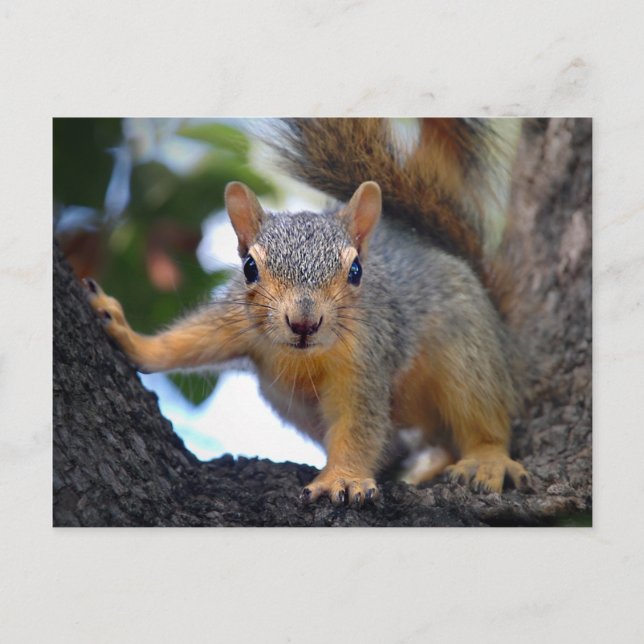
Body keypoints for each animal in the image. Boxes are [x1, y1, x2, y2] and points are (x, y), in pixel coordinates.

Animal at [84, 118, 530, 506]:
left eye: (356, 271)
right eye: (250, 267)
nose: (304, 322)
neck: (305, 357)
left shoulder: (366, 358)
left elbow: (358, 423)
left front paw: (343, 479)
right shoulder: (237, 322)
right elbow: (189, 342)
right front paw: (127, 335)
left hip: (469, 352)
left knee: (480, 416)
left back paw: (485, 460)